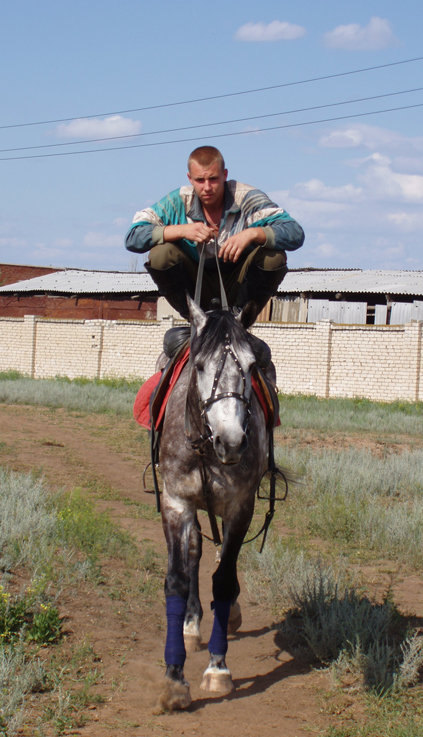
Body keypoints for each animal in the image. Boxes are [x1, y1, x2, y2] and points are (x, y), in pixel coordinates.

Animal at [157, 296, 270, 712]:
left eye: (251, 367)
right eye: (201, 365)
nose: (232, 441)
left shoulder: (240, 507)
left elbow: (223, 579)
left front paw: (217, 668)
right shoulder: (176, 503)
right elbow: (177, 578)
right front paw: (175, 678)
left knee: (223, 561)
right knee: (194, 552)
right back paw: (190, 625)